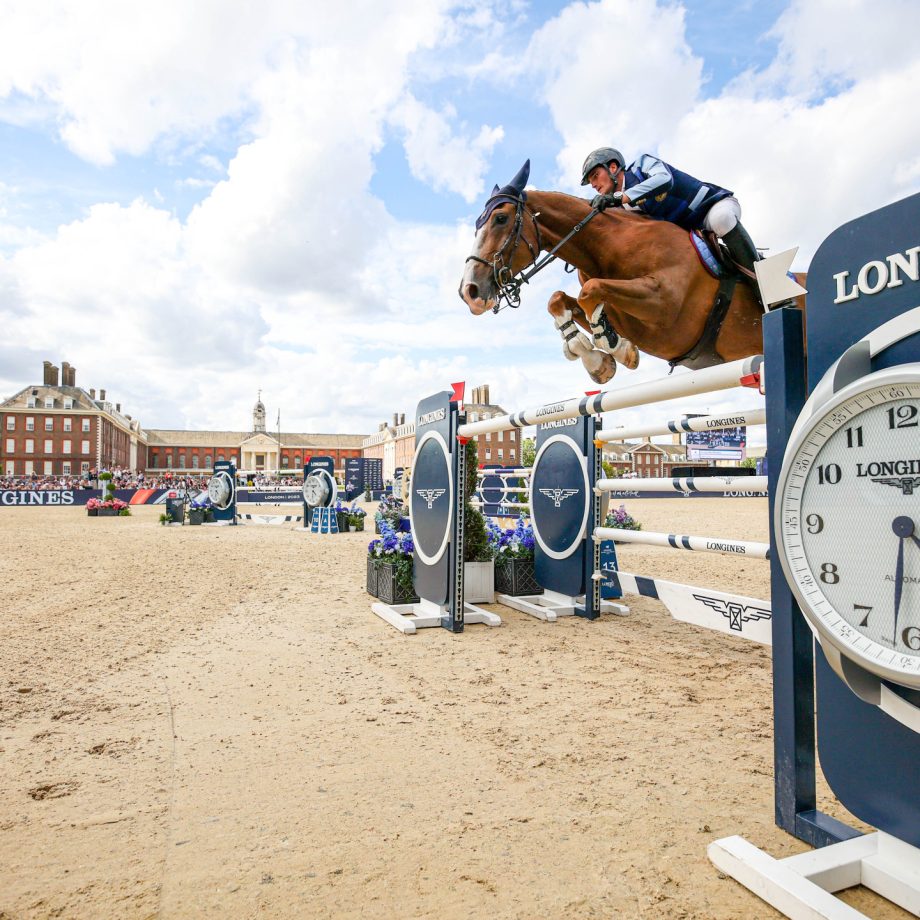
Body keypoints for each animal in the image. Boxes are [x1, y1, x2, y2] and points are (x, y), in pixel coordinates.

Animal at [460, 180, 804, 380]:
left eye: (500, 218)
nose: (470, 292)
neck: (608, 246)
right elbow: (562, 300)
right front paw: (600, 359)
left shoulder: (667, 307)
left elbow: (590, 292)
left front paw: (610, 347)